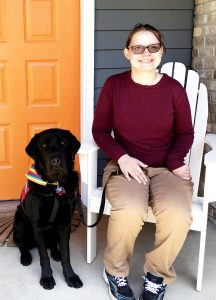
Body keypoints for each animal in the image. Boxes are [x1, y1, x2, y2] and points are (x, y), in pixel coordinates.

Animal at [13, 127, 82, 290]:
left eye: (63, 143)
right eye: (43, 146)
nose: (56, 161)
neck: (55, 187)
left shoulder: (65, 224)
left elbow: (66, 253)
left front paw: (71, 276)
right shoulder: (38, 226)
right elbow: (43, 255)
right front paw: (47, 278)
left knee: (53, 244)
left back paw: (56, 253)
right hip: (19, 222)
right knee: (21, 244)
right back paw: (25, 256)